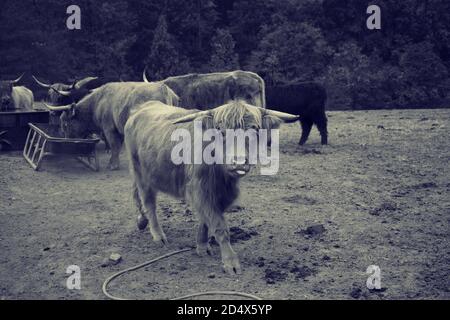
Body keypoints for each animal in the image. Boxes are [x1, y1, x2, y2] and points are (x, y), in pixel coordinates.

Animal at [45, 82, 179, 170]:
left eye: (65, 124)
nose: (66, 143)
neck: (97, 103)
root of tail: (163, 88)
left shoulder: (109, 129)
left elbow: (114, 145)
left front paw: (113, 165)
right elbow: (118, 146)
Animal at [124, 100, 298, 276]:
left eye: (254, 129)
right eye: (221, 131)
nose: (239, 163)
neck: (222, 176)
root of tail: (143, 107)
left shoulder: (218, 195)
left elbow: (206, 221)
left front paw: (202, 246)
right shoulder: (200, 191)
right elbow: (219, 226)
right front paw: (230, 262)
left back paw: (142, 220)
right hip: (141, 173)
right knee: (149, 203)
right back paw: (158, 235)